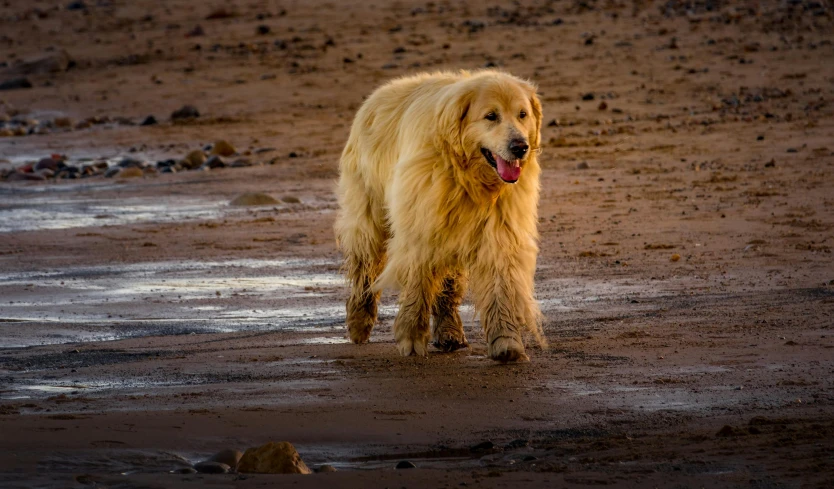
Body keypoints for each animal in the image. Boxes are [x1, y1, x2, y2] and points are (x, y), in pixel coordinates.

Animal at [334, 68, 544, 360]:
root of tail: (376, 95)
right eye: (491, 116)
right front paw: (411, 337)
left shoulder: (499, 230)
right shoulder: (421, 225)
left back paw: (450, 333)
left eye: (522, 114)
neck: (467, 176)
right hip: (368, 214)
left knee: (448, 283)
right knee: (365, 267)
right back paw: (359, 322)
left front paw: (507, 342)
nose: (520, 147)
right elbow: (417, 281)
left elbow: (500, 283)